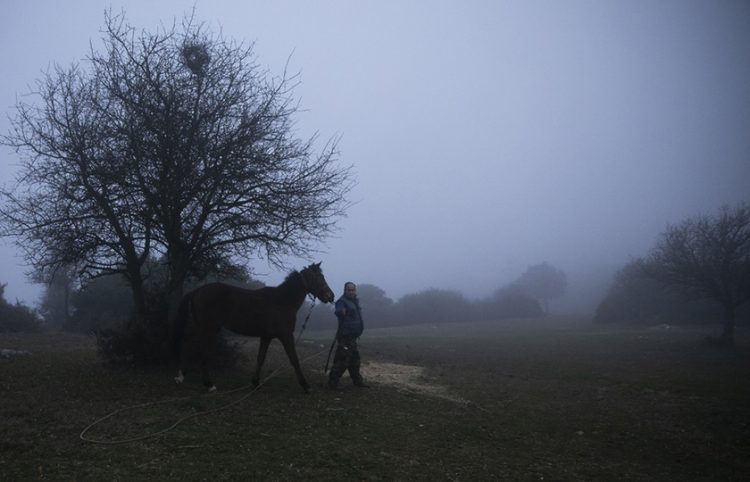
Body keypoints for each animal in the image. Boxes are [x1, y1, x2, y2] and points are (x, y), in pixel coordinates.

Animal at [173, 264, 334, 392]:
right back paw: (205, 383)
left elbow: (260, 358)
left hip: (205, 327)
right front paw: (306, 386)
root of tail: (198, 290)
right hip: (209, 328)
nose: (330, 296)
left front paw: (255, 382)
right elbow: (294, 359)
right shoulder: (286, 335)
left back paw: (185, 377)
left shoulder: (266, 336)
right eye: (319, 277)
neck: (282, 301)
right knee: (198, 348)